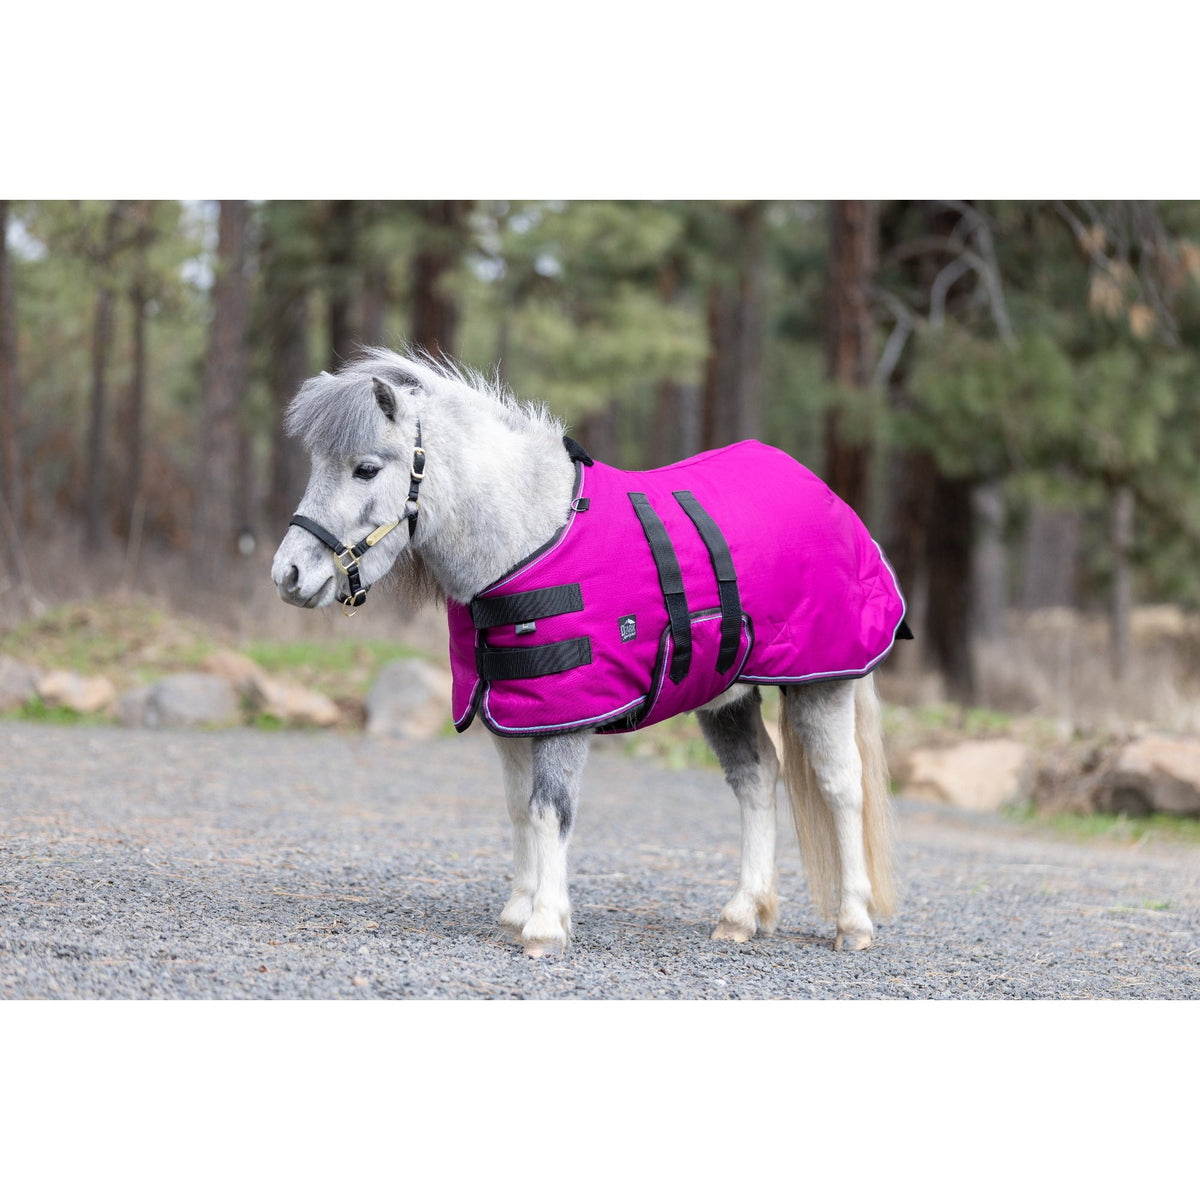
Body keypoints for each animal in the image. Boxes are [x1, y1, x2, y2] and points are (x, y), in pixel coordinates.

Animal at [271, 349, 907, 958]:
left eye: (366, 468)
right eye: (317, 465)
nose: (289, 575)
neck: (529, 542)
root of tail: (829, 497)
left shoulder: (567, 715)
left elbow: (551, 810)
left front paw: (545, 926)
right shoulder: (513, 713)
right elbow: (518, 806)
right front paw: (517, 910)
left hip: (823, 681)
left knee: (842, 785)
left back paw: (853, 921)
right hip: (725, 695)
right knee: (756, 779)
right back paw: (742, 915)